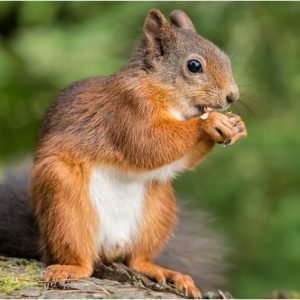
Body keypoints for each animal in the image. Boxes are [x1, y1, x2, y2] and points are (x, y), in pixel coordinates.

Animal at [0, 8, 246, 298]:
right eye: (194, 66)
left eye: (226, 58)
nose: (232, 96)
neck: (165, 93)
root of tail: (110, 247)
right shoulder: (127, 110)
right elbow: (149, 144)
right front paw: (210, 123)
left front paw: (238, 126)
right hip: (62, 198)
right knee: (81, 258)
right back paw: (70, 268)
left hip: (158, 207)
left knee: (135, 260)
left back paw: (168, 273)